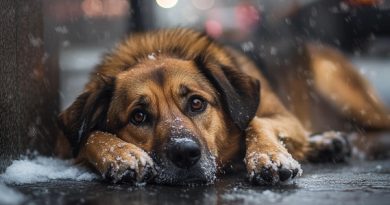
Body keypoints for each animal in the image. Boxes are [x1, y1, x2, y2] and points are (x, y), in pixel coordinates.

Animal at [56, 28, 388, 185]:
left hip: (338, 85)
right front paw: (122, 155)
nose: (185, 154)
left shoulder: (283, 116)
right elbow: (89, 136)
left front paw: (269, 158)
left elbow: (255, 120)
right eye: (138, 116)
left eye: (196, 103)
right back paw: (326, 144)